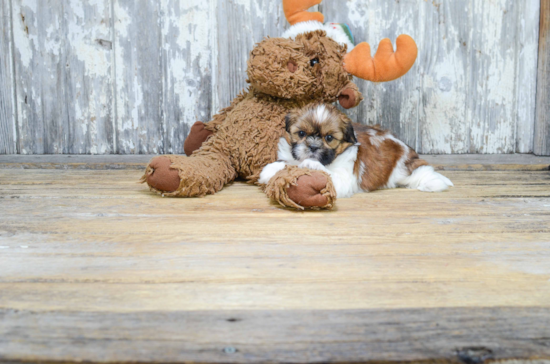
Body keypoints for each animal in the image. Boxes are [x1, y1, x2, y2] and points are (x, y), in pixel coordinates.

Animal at [260, 104, 454, 198]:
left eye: (329, 138)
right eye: (301, 134)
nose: (313, 147)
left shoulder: (345, 177)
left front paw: (311, 164)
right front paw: (272, 169)